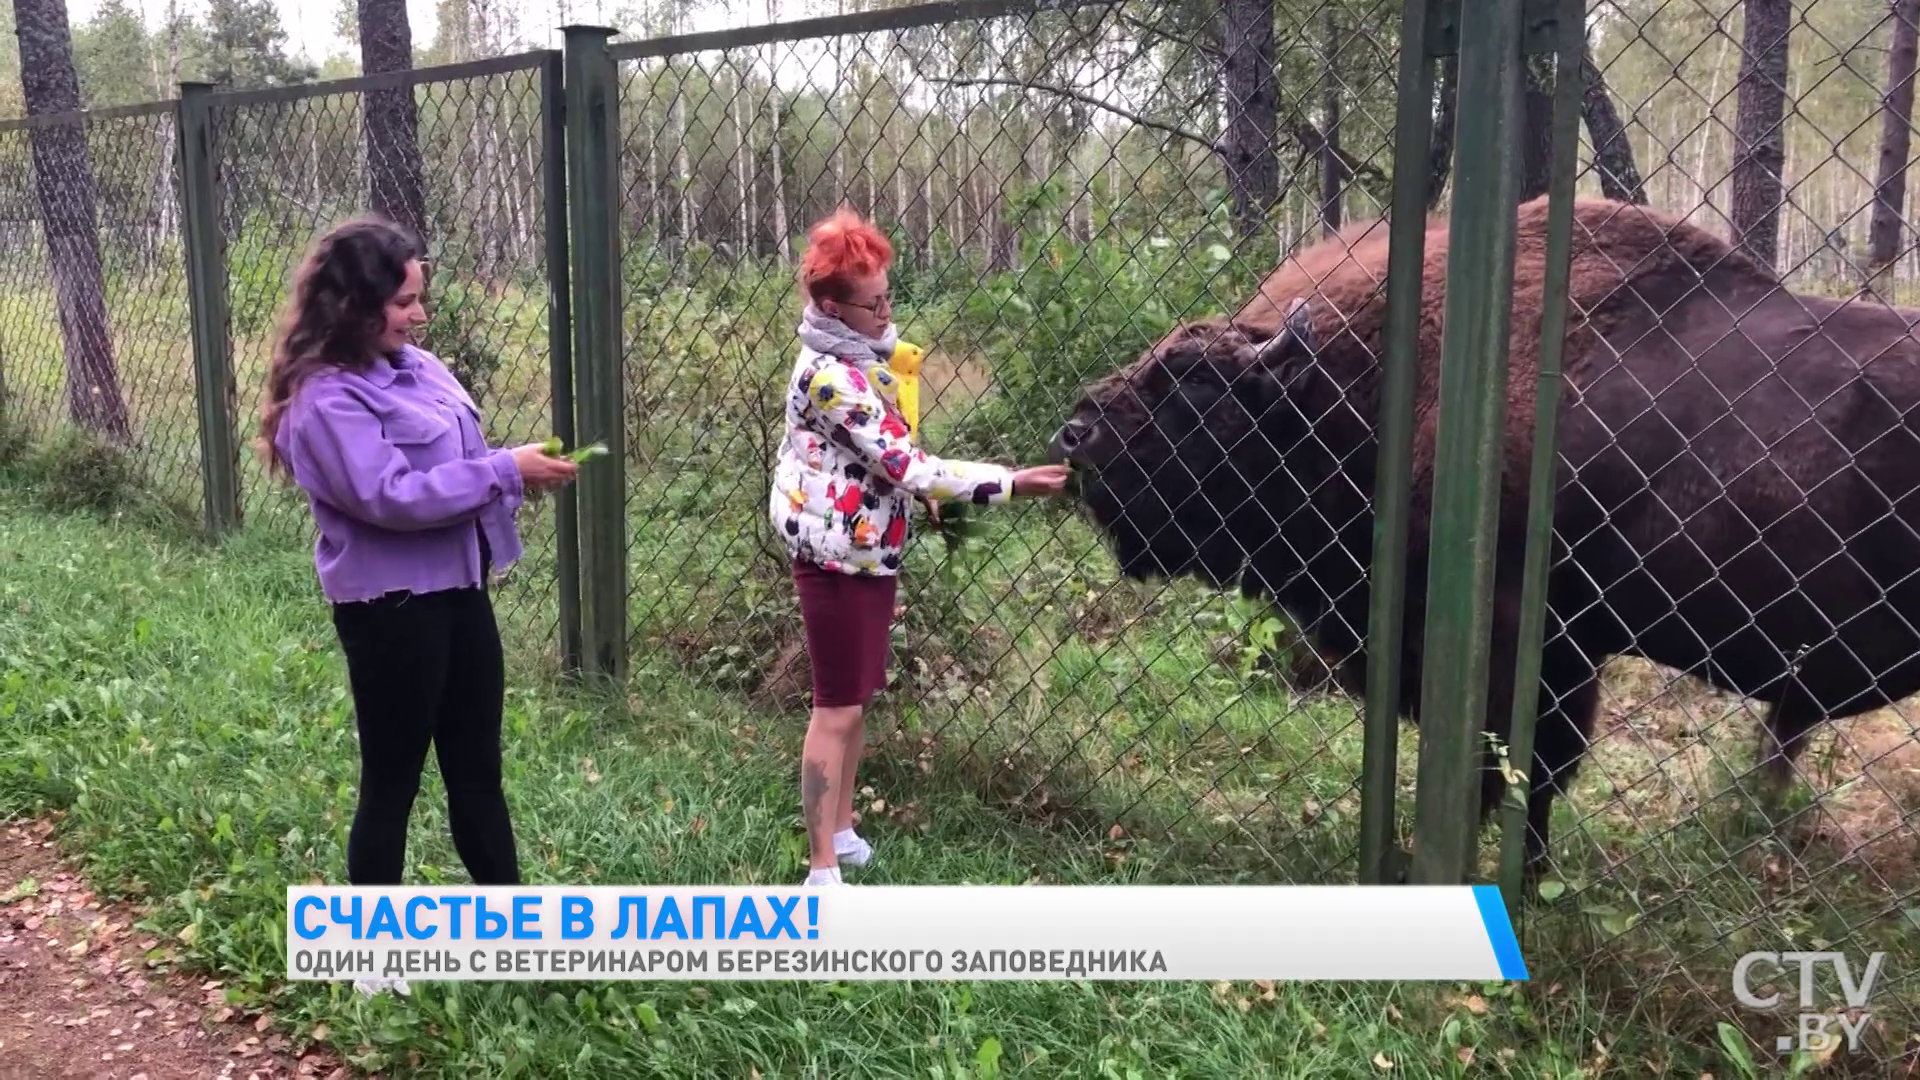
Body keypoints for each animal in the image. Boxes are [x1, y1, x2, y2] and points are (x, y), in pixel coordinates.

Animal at [1052, 195, 1920, 883]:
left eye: (1197, 379)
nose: (1076, 433)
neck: (1361, 389)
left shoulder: (1528, 647)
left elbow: (1518, 771)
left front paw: (1513, 878)